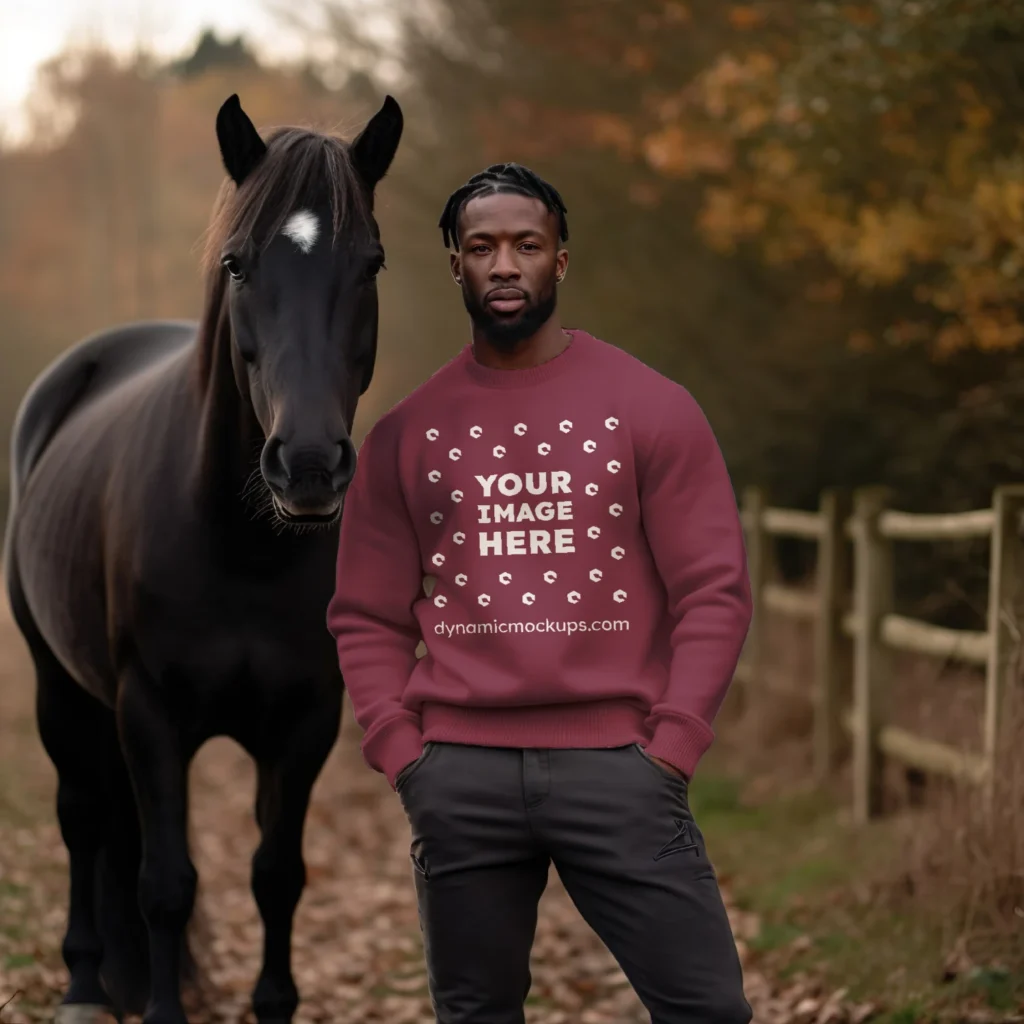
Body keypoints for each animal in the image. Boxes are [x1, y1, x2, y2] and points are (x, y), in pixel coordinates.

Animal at [4, 92, 403, 1019]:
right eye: (237, 264)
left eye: (371, 263)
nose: (308, 464)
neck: (240, 549)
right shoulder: (150, 715)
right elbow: (166, 885)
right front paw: (159, 1006)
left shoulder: (305, 723)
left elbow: (277, 877)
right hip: (59, 688)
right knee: (84, 817)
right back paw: (85, 984)